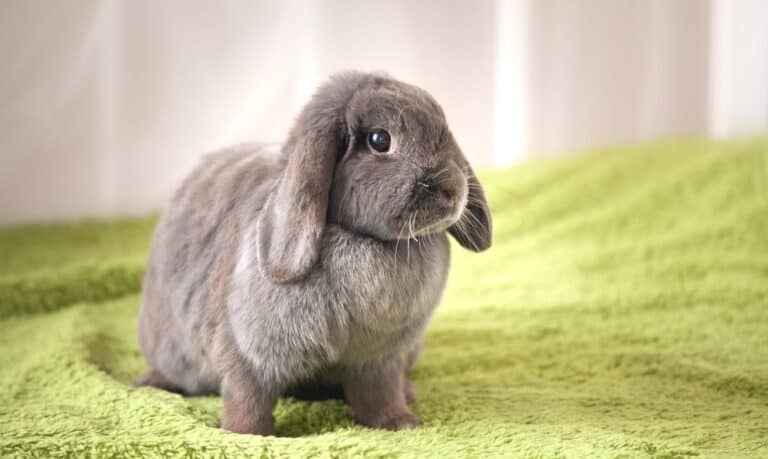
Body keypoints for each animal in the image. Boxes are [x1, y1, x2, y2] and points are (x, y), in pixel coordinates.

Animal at [136, 70, 492, 436]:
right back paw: (153, 381)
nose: (453, 190)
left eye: (444, 130)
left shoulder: (379, 358)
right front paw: (247, 434)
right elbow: (248, 396)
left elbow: (379, 394)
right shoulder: (249, 353)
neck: (368, 240)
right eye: (380, 140)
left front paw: (399, 422)